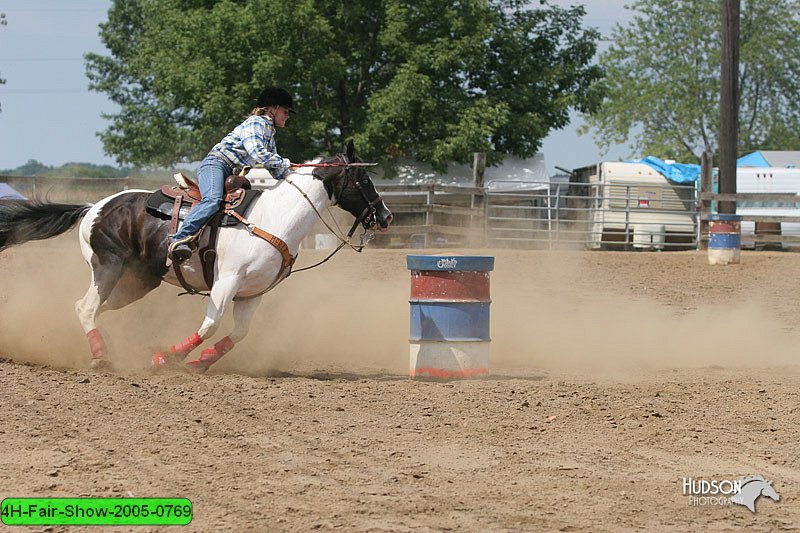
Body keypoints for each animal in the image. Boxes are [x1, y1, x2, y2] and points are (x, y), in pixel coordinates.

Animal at [0, 142, 394, 374]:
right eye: (363, 180)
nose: (386, 217)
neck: (274, 217)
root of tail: (93, 206)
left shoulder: (253, 292)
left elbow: (239, 333)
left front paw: (201, 363)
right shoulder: (226, 281)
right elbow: (210, 325)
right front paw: (166, 357)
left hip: (138, 281)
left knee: (96, 309)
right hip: (107, 267)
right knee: (85, 307)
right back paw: (101, 357)